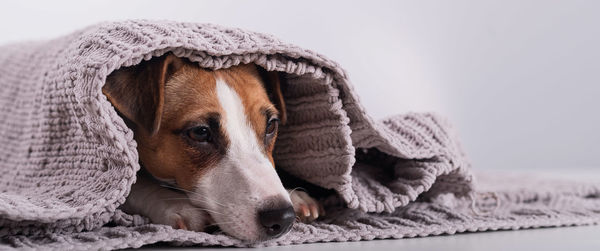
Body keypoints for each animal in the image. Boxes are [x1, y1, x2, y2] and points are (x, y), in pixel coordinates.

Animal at [102, 54, 324, 240]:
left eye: (271, 125)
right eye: (200, 132)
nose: (282, 216)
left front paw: (294, 195)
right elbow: (133, 187)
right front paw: (176, 204)